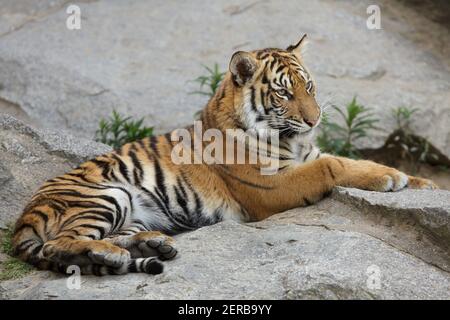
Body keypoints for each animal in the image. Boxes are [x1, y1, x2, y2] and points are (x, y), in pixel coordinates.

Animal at [12, 34, 438, 276]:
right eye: (284, 93)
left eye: (310, 87)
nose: (315, 119)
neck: (293, 140)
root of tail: (23, 219)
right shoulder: (271, 186)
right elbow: (332, 165)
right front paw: (390, 178)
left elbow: (348, 161)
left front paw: (424, 184)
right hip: (106, 195)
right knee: (59, 244)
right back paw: (113, 255)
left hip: (131, 212)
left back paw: (152, 246)